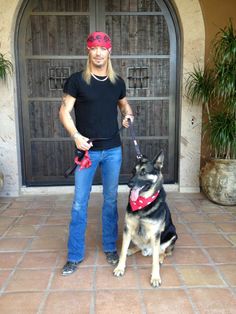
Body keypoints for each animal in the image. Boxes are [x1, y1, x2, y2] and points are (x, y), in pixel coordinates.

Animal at [114, 151, 177, 288]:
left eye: (143, 172)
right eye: (133, 171)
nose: (129, 184)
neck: (142, 204)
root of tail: (147, 250)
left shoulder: (156, 234)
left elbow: (154, 261)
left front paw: (155, 277)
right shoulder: (127, 229)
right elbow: (122, 251)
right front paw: (120, 268)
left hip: (173, 234)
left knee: (165, 252)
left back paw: (160, 257)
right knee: (138, 246)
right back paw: (131, 250)